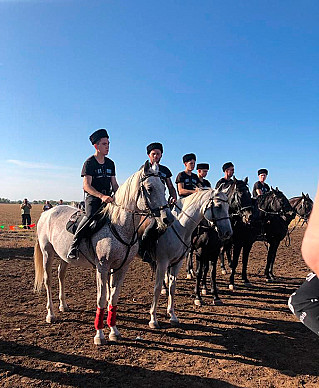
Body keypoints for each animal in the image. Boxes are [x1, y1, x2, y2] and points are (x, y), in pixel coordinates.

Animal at [34, 162, 174, 344]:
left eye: (164, 188)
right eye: (150, 188)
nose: (168, 218)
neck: (119, 226)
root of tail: (47, 212)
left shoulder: (121, 267)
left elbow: (113, 297)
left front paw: (113, 330)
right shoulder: (102, 267)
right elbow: (101, 298)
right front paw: (99, 335)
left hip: (63, 256)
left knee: (61, 275)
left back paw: (63, 305)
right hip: (47, 253)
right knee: (48, 280)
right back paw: (51, 314)